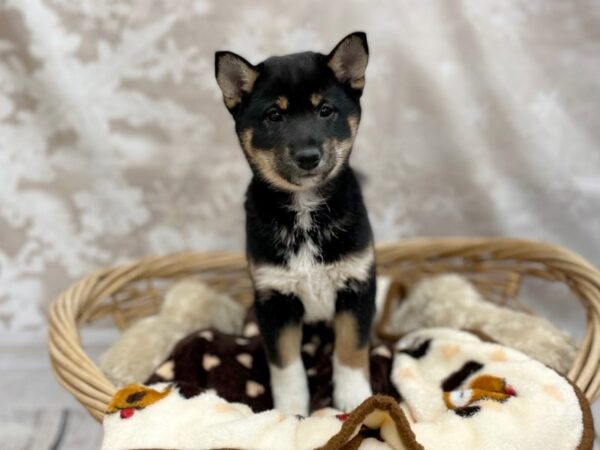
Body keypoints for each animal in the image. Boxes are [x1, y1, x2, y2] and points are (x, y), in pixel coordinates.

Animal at [216, 33, 376, 416]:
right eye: (274, 115)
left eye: (325, 110)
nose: (308, 158)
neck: (304, 211)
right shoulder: (274, 300)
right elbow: (286, 366)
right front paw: (290, 413)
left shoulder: (357, 287)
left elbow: (351, 351)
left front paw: (356, 399)